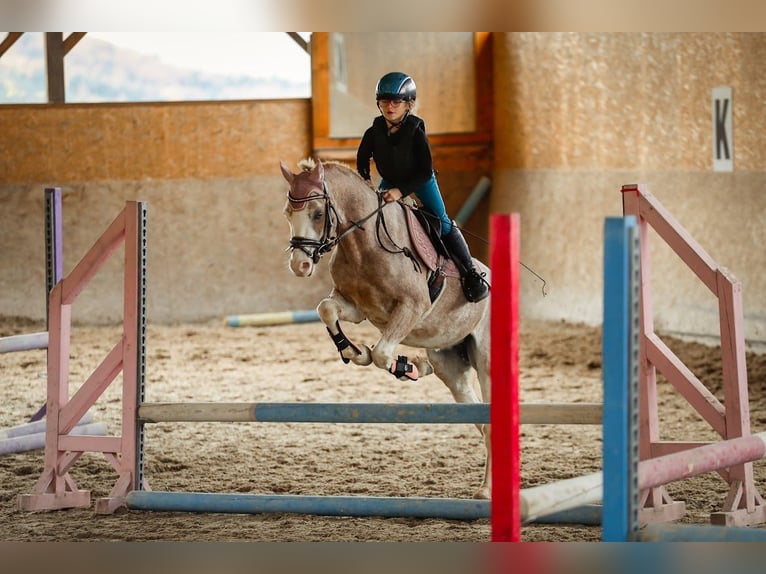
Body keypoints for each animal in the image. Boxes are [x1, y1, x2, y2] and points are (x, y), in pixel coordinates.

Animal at [280, 159, 492, 500]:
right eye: (288, 212)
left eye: (317, 214)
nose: (300, 266)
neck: (363, 245)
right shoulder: (356, 308)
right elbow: (326, 310)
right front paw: (355, 351)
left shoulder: (411, 307)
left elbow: (382, 353)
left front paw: (405, 366)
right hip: (452, 367)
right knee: (480, 420)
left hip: (485, 362)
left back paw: (486, 491)